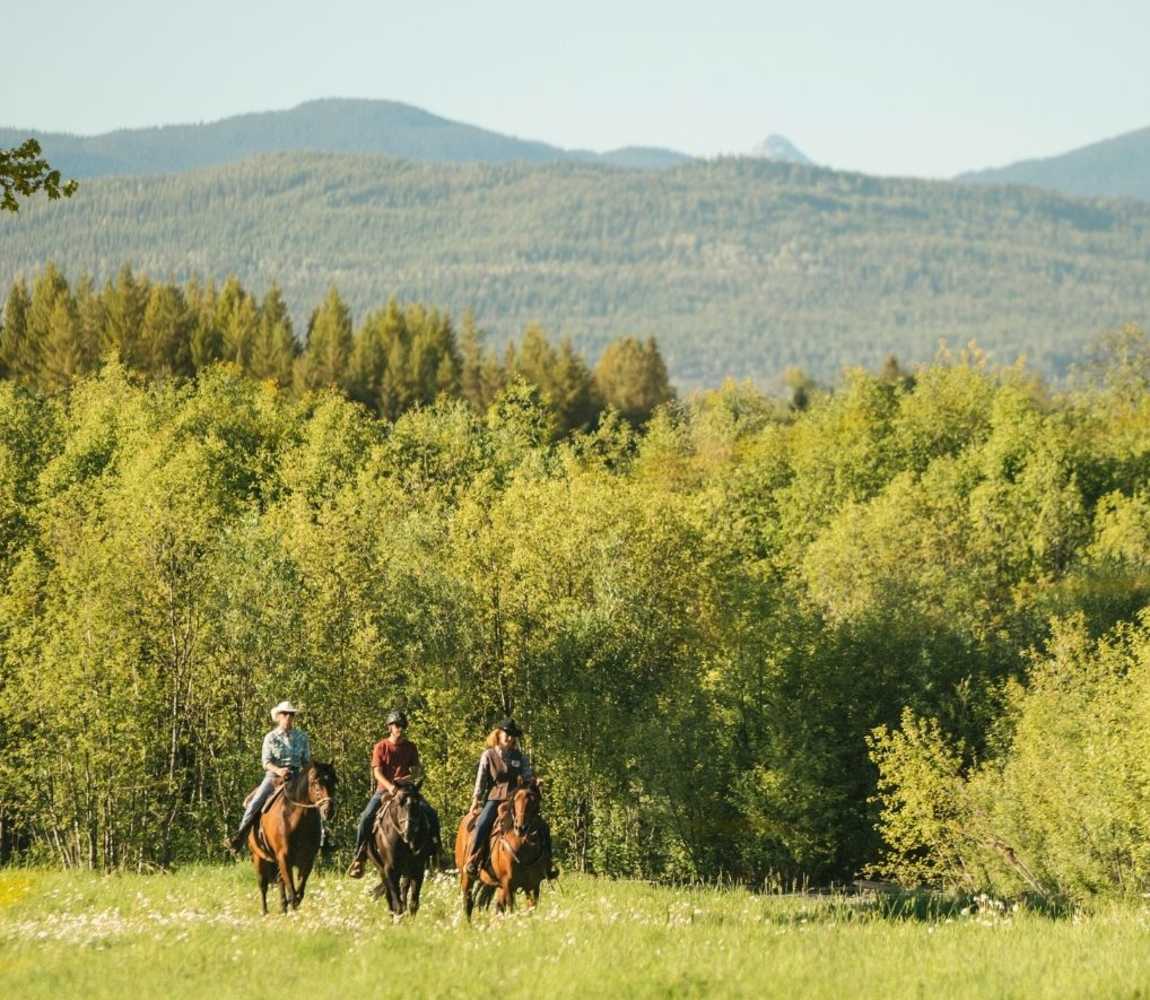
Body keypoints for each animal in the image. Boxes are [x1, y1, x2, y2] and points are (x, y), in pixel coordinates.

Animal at [247, 767, 335, 914]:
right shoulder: (284, 857)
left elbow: (300, 885)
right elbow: (291, 887)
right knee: (263, 885)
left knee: (280, 881)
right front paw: (293, 905)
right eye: (316, 784)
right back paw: (265, 912)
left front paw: (293, 903)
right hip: (258, 857)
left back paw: (283, 908)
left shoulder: (308, 858)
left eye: (334, 783)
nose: (329, 811)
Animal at [453, 781, 552, 924]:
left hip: (494, 884)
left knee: (493, 905)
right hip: (467, 876)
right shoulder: (509, 884)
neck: (524, 845)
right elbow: (511, 909)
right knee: (468, 903)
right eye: (516, 799)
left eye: (534, 801)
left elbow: (531, 909)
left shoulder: (533, 884)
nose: (521, 828)